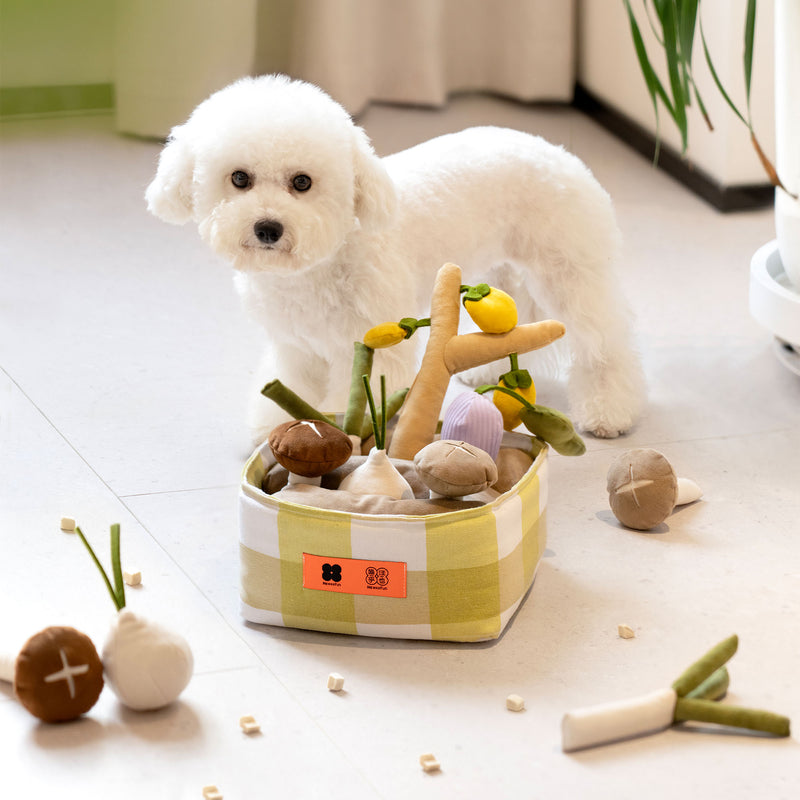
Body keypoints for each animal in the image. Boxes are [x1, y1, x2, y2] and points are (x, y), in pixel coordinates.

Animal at [144, 73, 644, 444]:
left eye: (302, 182)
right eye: (239, 178)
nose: (268, 228)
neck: (325, 260)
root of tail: (558, 152)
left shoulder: (370, 343)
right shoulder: (296, 346)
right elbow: (295, 385)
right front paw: (281, 427)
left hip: (569, 271)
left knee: (604, 345)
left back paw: (608, 412)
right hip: (498, 273)